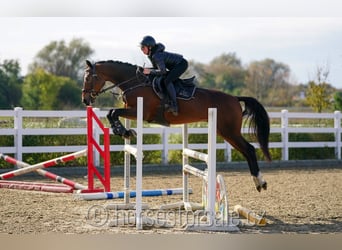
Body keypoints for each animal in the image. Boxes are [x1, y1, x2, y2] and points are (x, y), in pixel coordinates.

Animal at [81, 59, 272, 192]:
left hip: (230, 131)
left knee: (249, 149)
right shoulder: (130, 110)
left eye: (89, 78)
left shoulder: (140, 112)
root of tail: (234, 98)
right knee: (246, 151)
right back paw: (258, 182)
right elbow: (111, 113)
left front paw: (124, 131)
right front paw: (124, 131)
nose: (85, 100)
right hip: (224, 131)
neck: (134, 82)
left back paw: (260, 182)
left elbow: (113, 112)